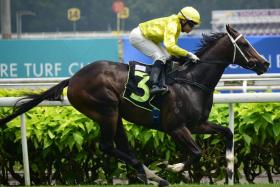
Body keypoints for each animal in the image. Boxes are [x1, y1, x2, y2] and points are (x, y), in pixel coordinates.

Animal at [0, 24, 270, 186]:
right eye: (244, 44)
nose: (265, 63)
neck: (192, 81)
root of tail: (74, 78)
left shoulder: (198, 124)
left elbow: (228, 132)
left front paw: (230, 169)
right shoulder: (176, 128)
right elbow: (196, 152)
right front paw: (173, 167)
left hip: (115, 115)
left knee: (122, 147)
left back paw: (149, 174)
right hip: (106, 109)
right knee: (107, 146)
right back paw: (153, 174)